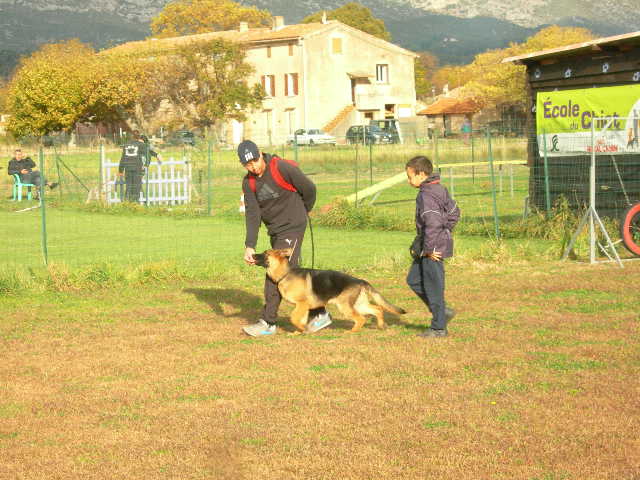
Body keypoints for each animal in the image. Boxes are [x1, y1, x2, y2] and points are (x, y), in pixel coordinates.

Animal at [251, 249, 404, 332]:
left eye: (265, 253)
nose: (251, 255)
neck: (285, 274)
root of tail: (360, 280)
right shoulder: (303, 307)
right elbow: (301, 319)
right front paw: (300, 331)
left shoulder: (302, 304)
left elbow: (293, 318)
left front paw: (302, 329)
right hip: (359, 304)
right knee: (378, 309)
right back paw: (381, 325)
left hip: (345, 306)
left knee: (361, 318)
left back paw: (351, 332)